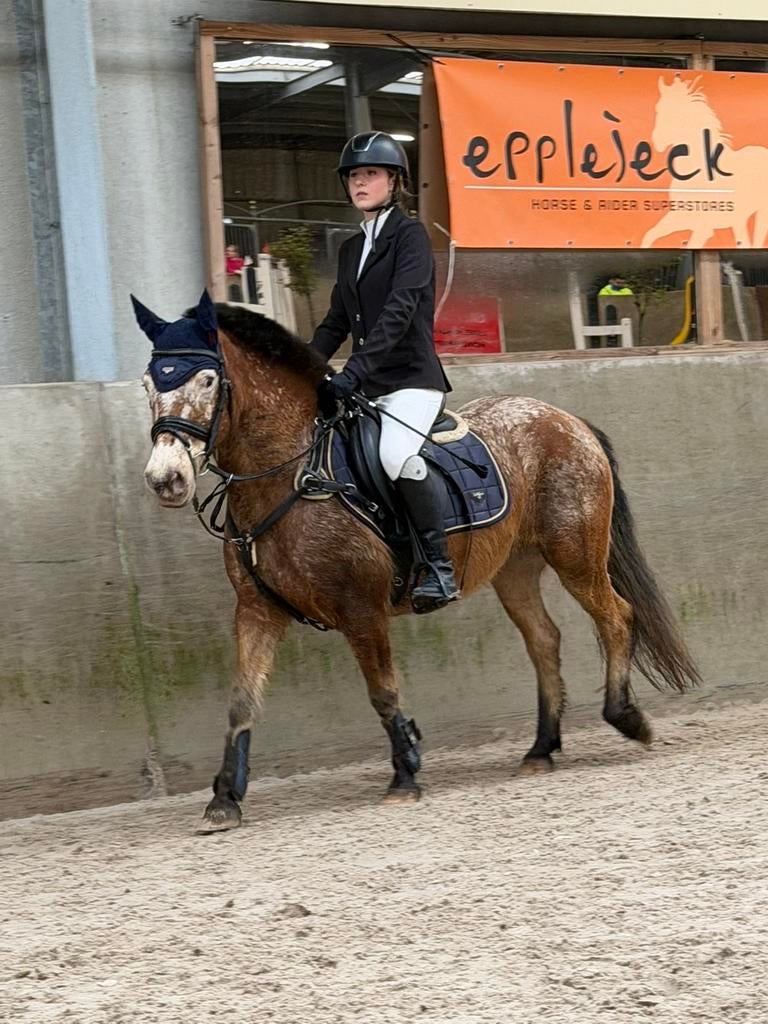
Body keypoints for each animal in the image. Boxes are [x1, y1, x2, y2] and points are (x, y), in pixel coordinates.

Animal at [135, 292, 700, 832]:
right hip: (514, 570)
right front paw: (224, 800)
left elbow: (383, 691)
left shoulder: (361, 609)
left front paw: (405, 774)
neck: (290, 472)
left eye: (208, 378)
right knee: (545, 640)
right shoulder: (257, 610)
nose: (166, 479)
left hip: (575, 556)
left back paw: (626, 717)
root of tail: (565, 419)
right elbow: (241, 702)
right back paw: (541, 749)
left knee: (616, 616)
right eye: (147, 384)